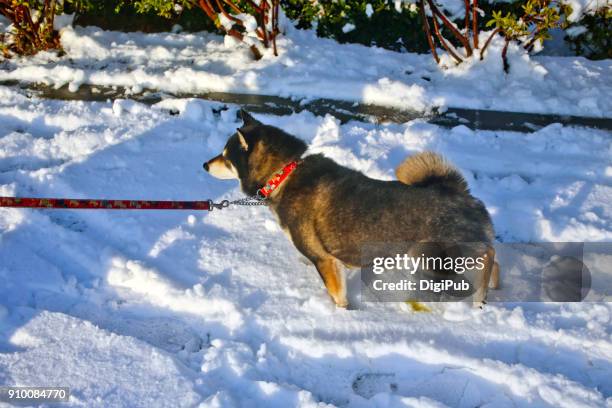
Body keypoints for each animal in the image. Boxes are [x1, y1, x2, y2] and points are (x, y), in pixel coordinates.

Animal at [203, 110, 500, 308]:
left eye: (226, 157)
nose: (205, 164)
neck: (283, 173)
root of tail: (458, 191)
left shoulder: (325, 261)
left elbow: (337, 295)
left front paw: (341, 314)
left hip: (438, 256)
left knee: (488, 256)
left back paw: (480, 297)